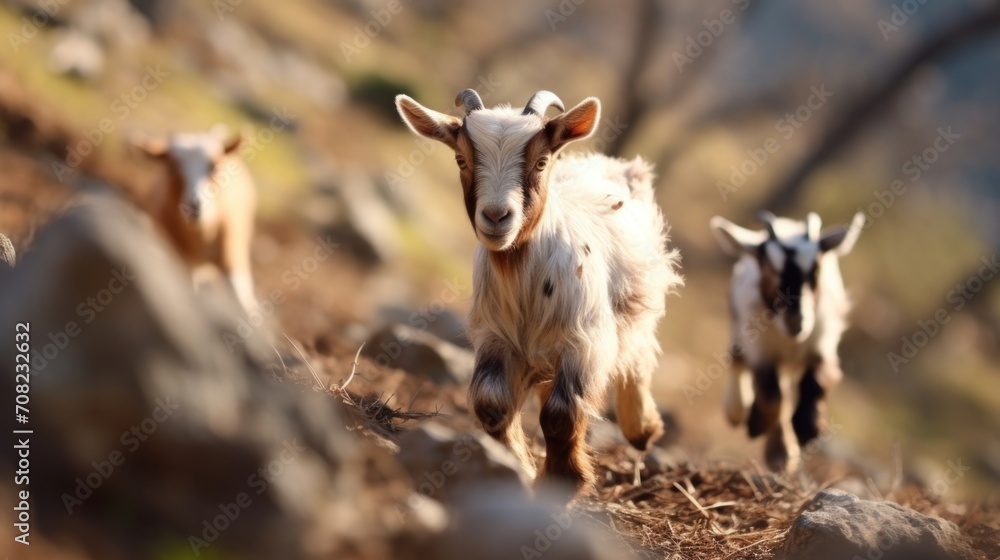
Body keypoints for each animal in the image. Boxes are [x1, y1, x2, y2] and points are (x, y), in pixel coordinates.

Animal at [396, 89, 682, 497]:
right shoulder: (497, 337)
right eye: (461, 159)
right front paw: (521, 469)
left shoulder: (585, 343)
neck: (524, 276)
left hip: (639, 302)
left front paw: (563, 482)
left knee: (638, 357)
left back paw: (642, 429)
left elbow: (561, 414)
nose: (496, 217)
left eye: (542, 162)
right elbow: (491, 405)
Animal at [710, 211, 864, 472]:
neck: (790, 340)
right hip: (739, 329)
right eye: (769, 268)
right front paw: (757, 426)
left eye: (816, 270)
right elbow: (772, 396)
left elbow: (816, 381)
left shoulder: (823, 343)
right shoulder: (761, 350)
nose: (796, 322)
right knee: (739, 361)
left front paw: (806, 429)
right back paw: (739, 413)